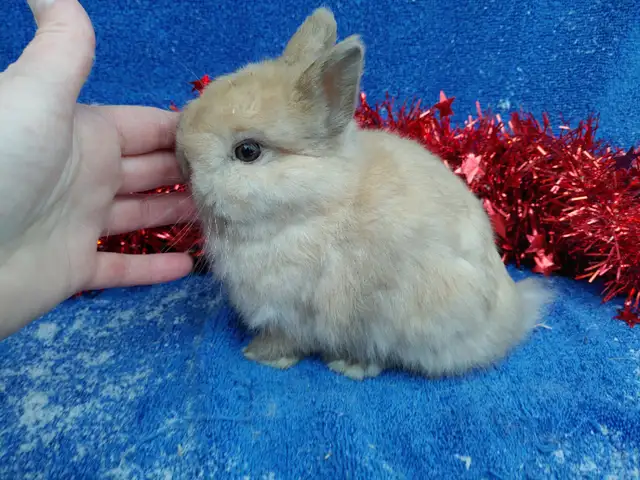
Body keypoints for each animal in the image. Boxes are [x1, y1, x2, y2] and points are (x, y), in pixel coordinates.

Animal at [175, 7, 552, 380]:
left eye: (248, 151)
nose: (183, 166)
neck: (315, 205)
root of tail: (509, 322)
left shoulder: (292, 312)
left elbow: (287, 339)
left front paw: (259, 354)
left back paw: (350, 365)